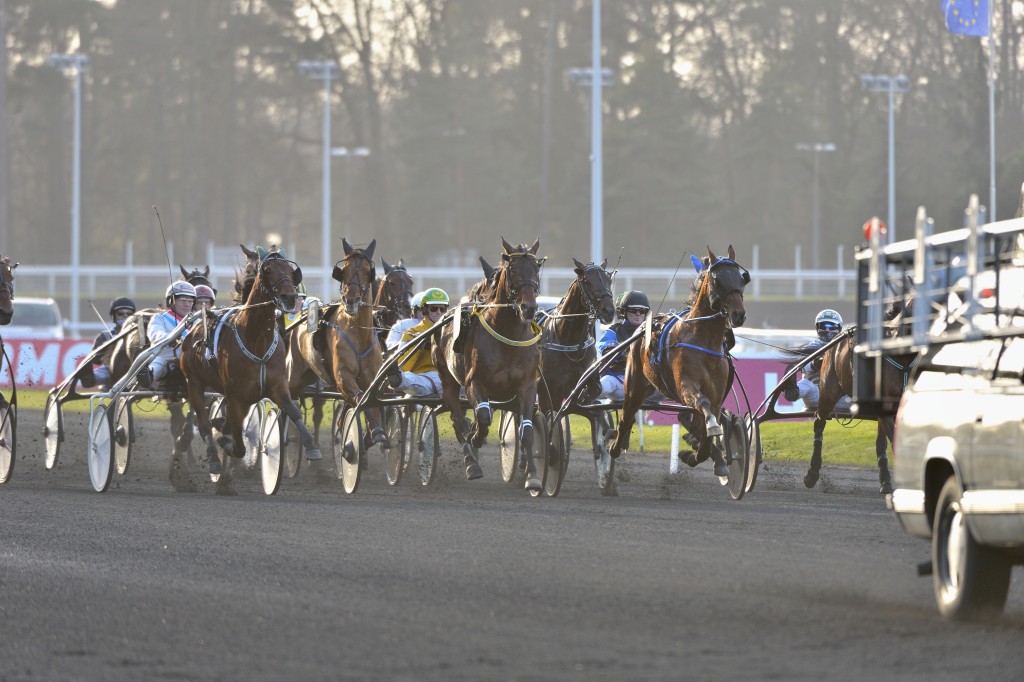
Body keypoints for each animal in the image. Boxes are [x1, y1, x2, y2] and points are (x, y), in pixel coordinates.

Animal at [174, 246, 319, 491]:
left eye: (291, 271)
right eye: (267, 270)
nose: (290, 297)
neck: (256, 338)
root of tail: (193, 329)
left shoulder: (277, 386)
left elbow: (294, 411)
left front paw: (311, 446)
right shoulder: (235, 396)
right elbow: (239, 445)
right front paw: (227, 446)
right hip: (194, 383)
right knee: (202, 423)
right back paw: (214, 458)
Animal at [436, 236, 548, 485]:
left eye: (536, 268)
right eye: (513, 269)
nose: (529, 307)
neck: (508, 335)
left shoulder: (527, 386)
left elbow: (526, 431)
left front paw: (532, 475)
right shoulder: (474, 382)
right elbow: (483, 416)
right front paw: (476, 437)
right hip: (448, 381)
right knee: (458, 420)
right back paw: (471, 462)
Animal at [602, 245, 749, 477]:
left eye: (742, 278)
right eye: (717, 280)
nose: (738, 315)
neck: (703, 338)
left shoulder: (717, 396)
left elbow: (705, 438)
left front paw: (697, 454)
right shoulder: (686, 385)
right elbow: (703, 406)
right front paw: (708, 433)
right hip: (634, 386)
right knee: (626, 417)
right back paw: (613, 445)